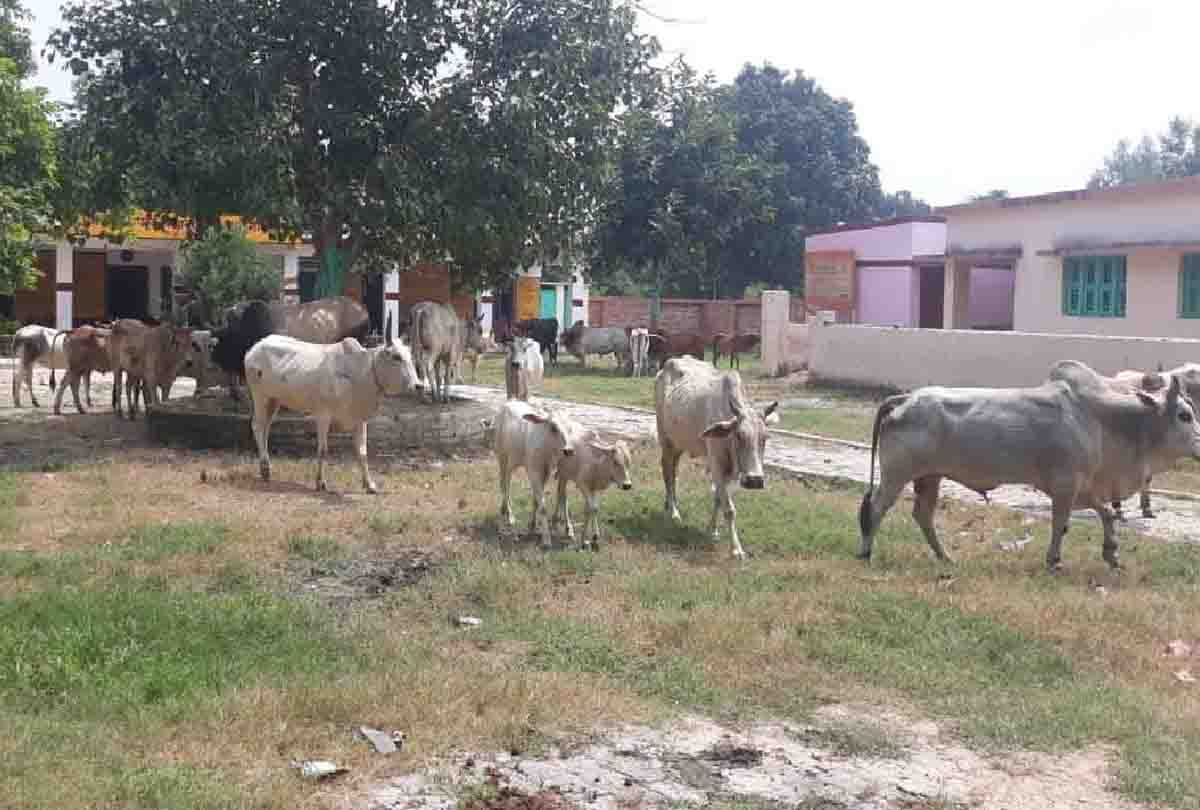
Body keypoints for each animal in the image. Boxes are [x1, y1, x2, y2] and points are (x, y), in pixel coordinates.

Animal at [244, 314, 422, 493]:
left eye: (411, 357)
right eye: (396, 357)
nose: (418, 385)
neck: (361, 372)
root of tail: (255, 348)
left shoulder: (360, 419)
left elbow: (362, 452)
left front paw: (369, 484)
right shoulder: (323, 415)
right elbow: (323, 450)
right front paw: (320, 482)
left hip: (274, 400)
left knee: (266, 427)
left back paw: (265, 466)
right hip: (260, 396)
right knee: (258, 426)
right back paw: (265, 469)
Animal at [492, 399, 582, 547]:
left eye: (570, 429)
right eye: (553, 427)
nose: (569, 450)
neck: (546, 449)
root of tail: (509, 403)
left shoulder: (545, 473)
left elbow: (536, 500)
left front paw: (532, 525)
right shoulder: (534, 472)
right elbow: (543, 507)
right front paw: (546, 539)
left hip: (512, 461)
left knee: (506, 484)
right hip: (502, 457)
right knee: (505, 485)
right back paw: (509, 515)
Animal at [655, 356, 780, 559]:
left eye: (765, 437)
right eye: (739, 435)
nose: (755, 480)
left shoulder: (726, 472)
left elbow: (718, 499)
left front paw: (712, 530)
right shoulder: (717, 465)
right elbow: (729, 509)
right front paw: (736, 549)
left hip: (679, 443)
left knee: (673, 471)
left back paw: (669, 503)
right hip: (666, 439)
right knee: (668, 472)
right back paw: (674, 511)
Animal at [858, 360, 1200, 572]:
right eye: (1184, 415)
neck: (1100, 419)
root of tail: (904, 399)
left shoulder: (1080, 486)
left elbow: (1105, 513)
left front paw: (1112, 554)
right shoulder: (1065, 485)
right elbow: (1061, 524)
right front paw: (1055, 561)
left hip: (930, 477)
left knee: (922, 515)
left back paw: (946, 558)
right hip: (896, 476)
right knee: (875, 508)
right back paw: (866, 553)